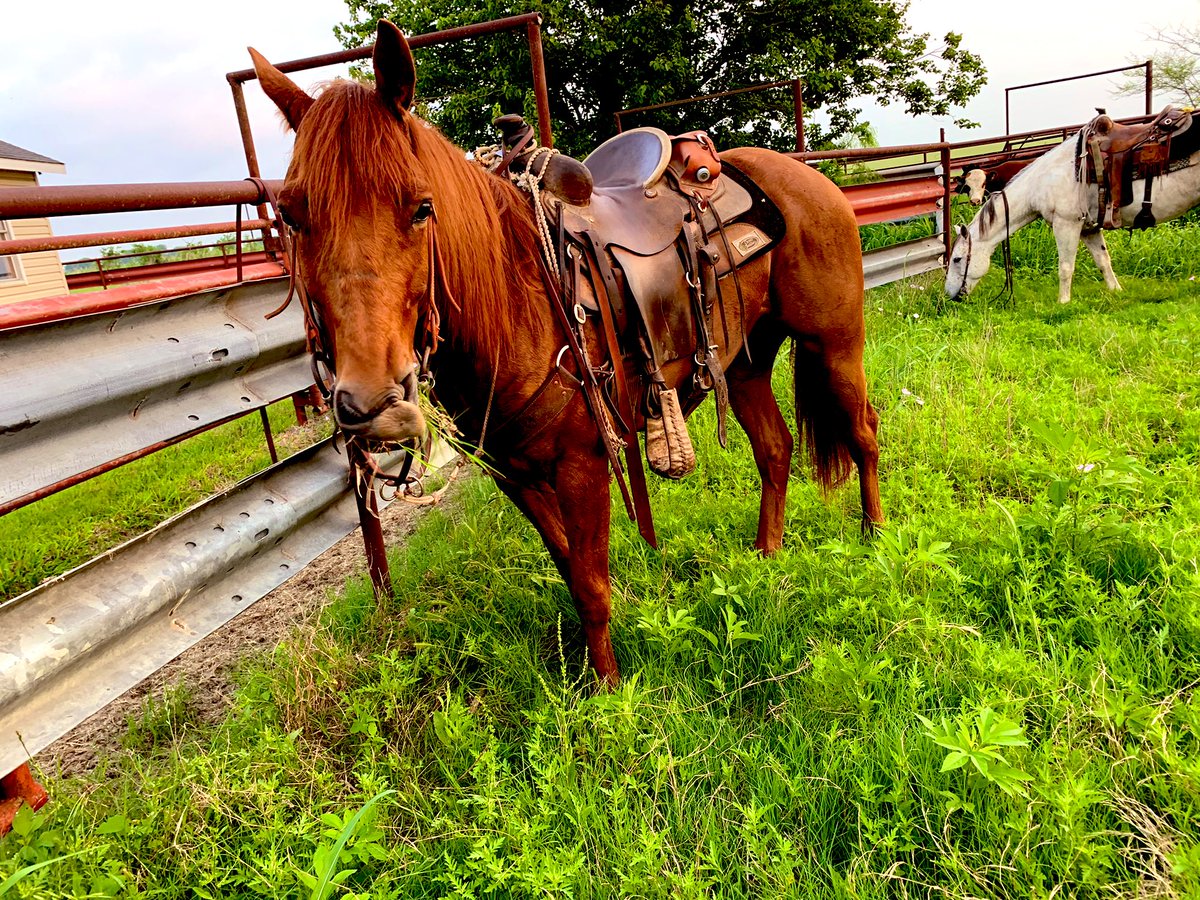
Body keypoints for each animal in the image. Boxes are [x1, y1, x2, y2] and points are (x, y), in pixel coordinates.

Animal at [249, 20, 884, 684]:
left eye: (421, 207)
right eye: (291, 216)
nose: (373, 404)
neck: (513, 298)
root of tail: (807, 178)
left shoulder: (584, 463)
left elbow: (591, 584)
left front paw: (610, 692)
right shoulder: (515, 474)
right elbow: (569, 568)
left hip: (835, 345)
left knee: (863, 430)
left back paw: (873, 535)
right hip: (745, 363)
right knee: (776, 450)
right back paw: (766, 554)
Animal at [946, 112, 1200, 304]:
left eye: (957, 259)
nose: (950, 295)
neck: (1044, 181)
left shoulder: (1066, 224)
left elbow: (1066, 267)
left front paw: (1063, 302)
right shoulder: (1089, 228)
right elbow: (1103, 261)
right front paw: (1116, 291)